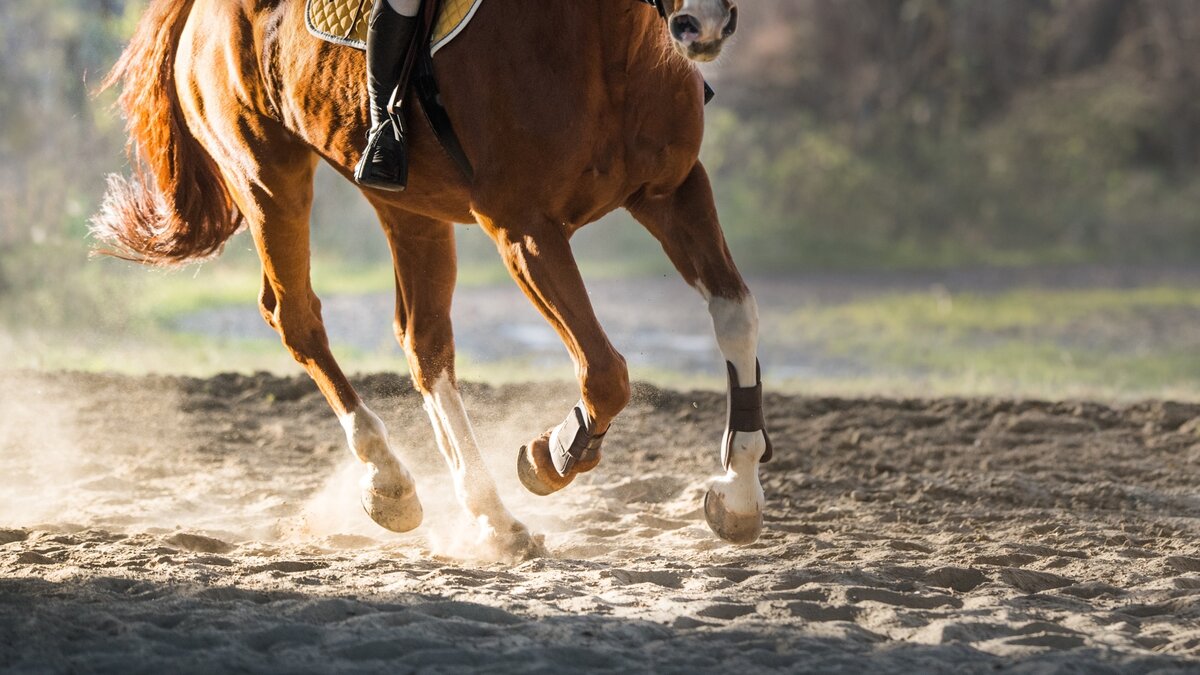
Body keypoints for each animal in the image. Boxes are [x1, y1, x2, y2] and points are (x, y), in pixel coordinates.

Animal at [93, 0, 768, 557]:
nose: (704, 25)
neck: (610, 45)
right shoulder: (524, 230)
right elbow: (605, 373)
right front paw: (552, 455)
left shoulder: (674, 193)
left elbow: (736, 316)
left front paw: (737, 493)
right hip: (266, 176)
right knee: (298, 319)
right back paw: (390, 480)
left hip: (406, 205)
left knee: (423, 344)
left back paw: (489, 517)